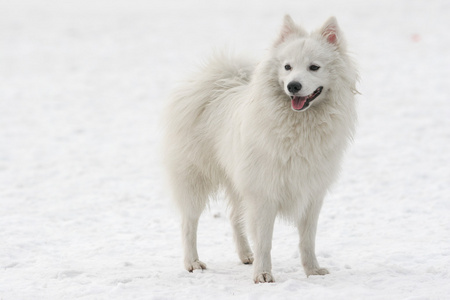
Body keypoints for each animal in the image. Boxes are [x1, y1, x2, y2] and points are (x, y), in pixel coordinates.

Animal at [163, 15, 356, 284]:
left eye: (314, 67)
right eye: (287, 67)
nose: (293, 86)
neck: (298, 126)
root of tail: (215, 84)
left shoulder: (311, 193)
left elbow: (307, 240)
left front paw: (312, 271)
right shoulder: (264, 193)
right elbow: (265, 240)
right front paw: (263, 274)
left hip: (237, 181)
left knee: (235, 218)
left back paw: (246, 255)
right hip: (194, 180)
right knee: (189, 223)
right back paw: (192, 262)